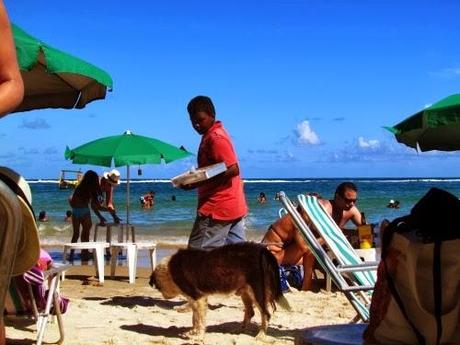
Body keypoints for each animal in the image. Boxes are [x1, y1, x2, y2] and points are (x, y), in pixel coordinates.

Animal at [149, 241, 290, 338]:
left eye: (159, 288)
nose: (164, 296)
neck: (170, 269)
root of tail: (264, 251)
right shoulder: (197, 299)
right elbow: (195, 318)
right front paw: (193, 332)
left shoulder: (198, 298)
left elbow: (199, 320)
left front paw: (198, 336)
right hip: (245, 292)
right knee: (250, 312)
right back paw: (239, 330)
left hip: (257, 292)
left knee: (266, 314)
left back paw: (260, 335)